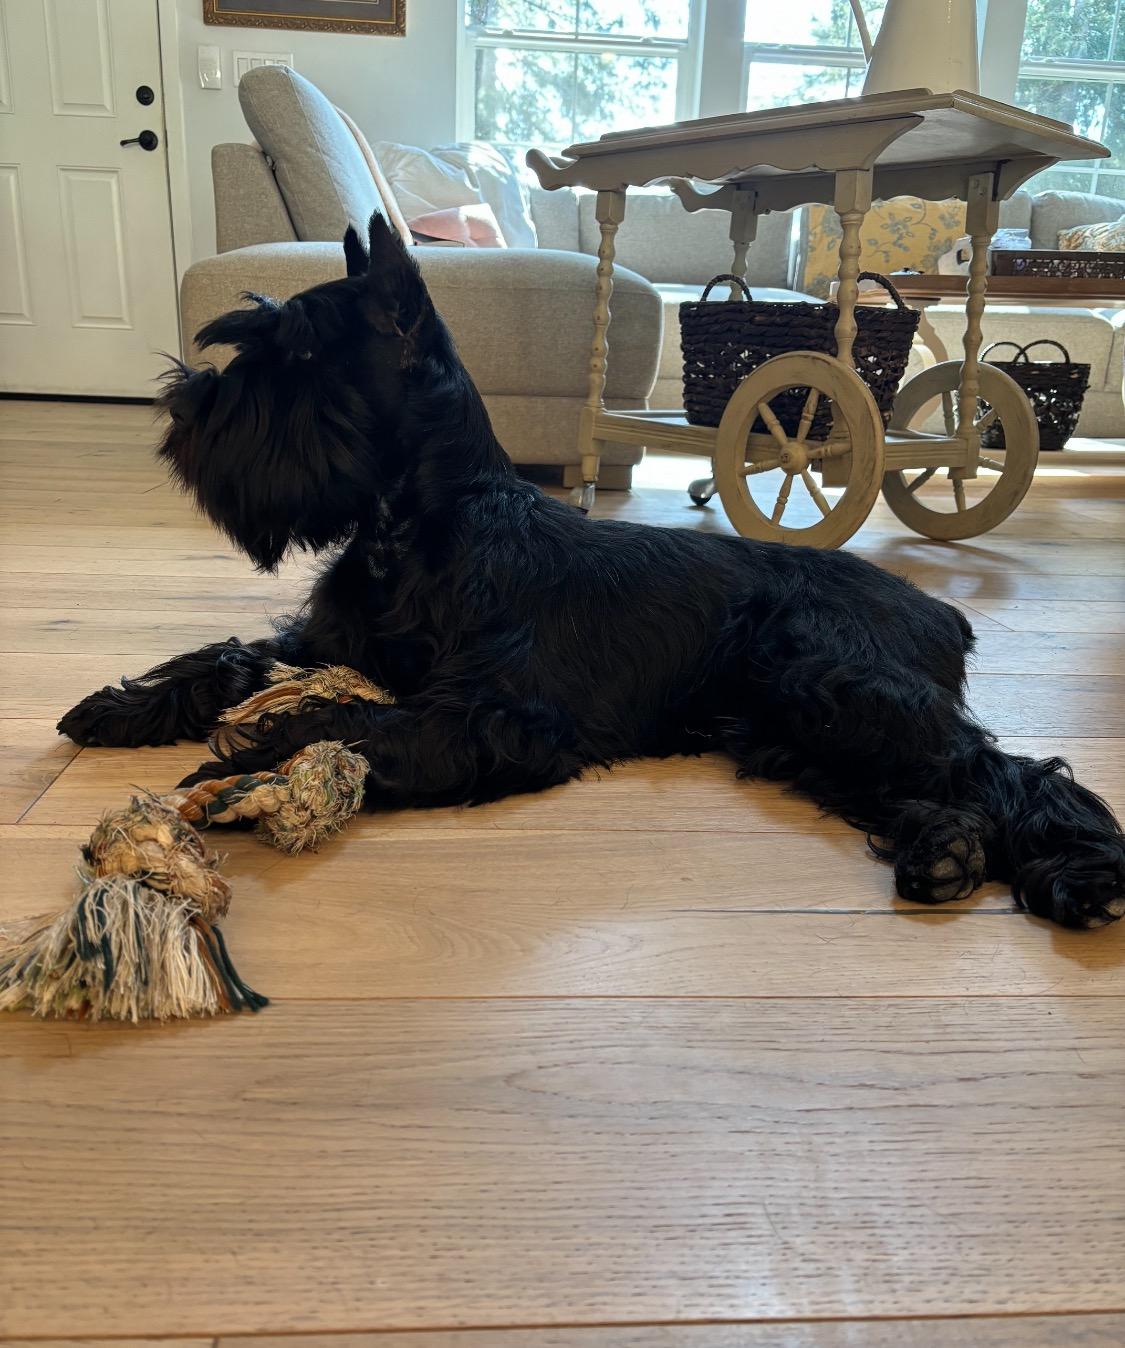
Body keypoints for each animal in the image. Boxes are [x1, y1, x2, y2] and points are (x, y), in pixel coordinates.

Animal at [59, 214, 1125, 930]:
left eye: (306, 351)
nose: (182, 410)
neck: (422, 525)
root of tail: (943, 617)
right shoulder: (321, 641)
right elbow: (231, 659)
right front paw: (123, 707)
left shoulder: (503, 716)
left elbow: (351, 721)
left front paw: (250, 761)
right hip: (791, 727)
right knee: (923, 785)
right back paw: (945, 850)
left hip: (839, 685)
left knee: (1012, 774)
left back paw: (1080, 874)